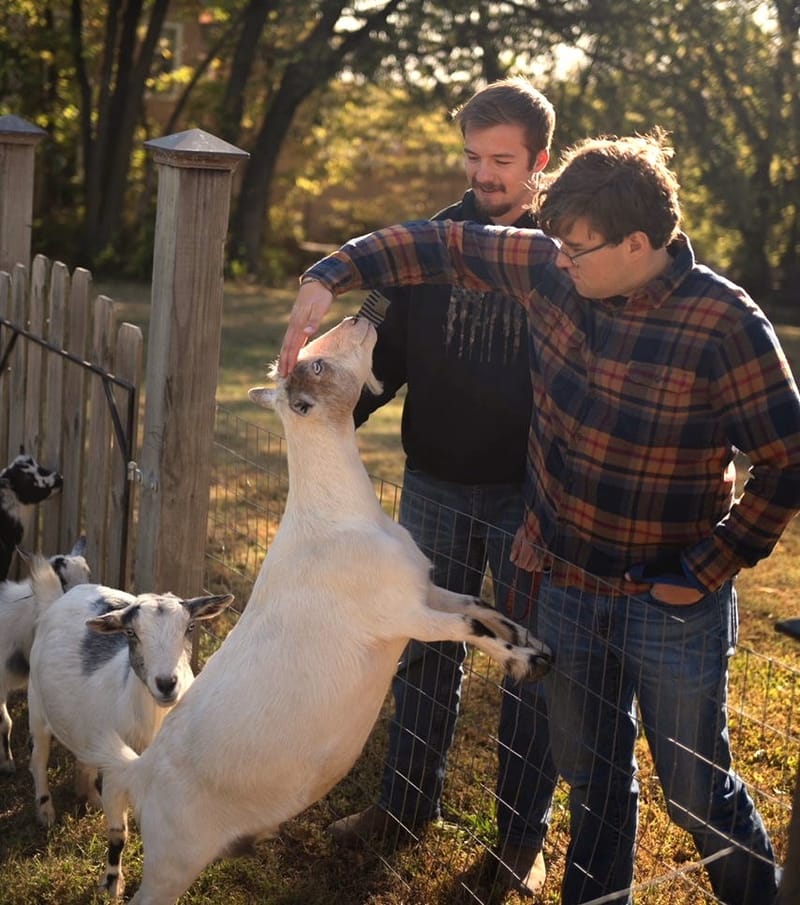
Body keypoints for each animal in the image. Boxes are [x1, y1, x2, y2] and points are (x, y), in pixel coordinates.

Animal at [73, 314, 552, 900]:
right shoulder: (404, 616)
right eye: (318, 365)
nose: (357, 318)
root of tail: (143, 774)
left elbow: (480, 605)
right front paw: (528, 662)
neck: (337, 518)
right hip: (171, 861)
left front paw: (530, 640)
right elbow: (467, 626)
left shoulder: (421, 591)